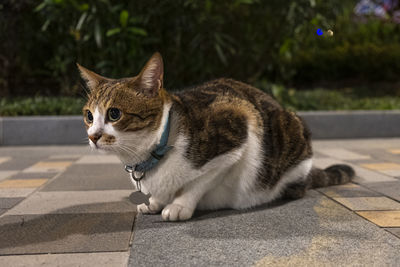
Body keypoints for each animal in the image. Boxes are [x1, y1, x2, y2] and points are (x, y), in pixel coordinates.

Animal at [77, 52, 354, 222]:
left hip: (289, 131)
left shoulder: (239, 131)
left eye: (114, 113)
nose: (93, 136)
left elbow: (198, 182)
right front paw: (155, 201)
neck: (152, 153)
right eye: (89, 115)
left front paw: (178, 205)